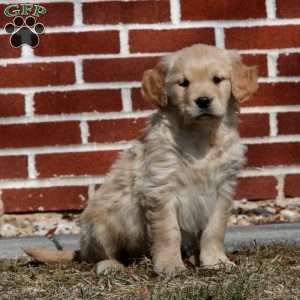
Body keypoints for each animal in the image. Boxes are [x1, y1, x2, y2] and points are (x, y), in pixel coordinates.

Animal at [24, 43, 258, 276]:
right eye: (183, 83)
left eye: (217, 79)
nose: (203, 101)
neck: (199, 136)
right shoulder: (160, 188)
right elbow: (168, 231)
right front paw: (170, 266)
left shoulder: (222, 190)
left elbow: (214, 230)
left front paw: (216, 262)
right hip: (101, 224)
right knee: (102, 255)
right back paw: (111, 266)